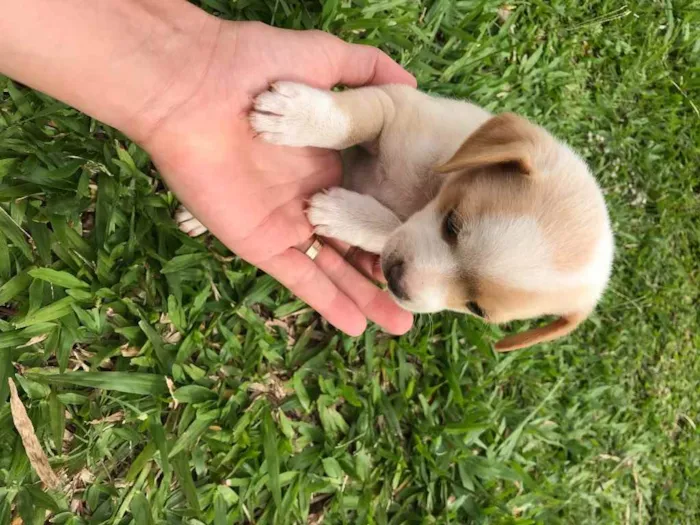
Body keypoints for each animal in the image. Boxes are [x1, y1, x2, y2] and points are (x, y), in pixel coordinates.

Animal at [179, 82, 612, 350]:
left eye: (477, 309)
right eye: (452, 224)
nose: (398, 282)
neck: (427, 194)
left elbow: (390, 227)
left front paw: (343, 213)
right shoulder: (394, 102)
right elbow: (351, 120)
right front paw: (299, 116)